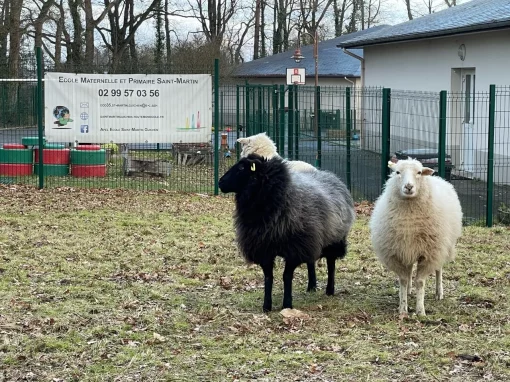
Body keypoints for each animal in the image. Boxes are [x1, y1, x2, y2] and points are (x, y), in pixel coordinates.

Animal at [218, 154, 354, 312]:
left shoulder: (294, 248)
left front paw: (287, 304)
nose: (220, 182)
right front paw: (266, 306)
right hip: (312, 238)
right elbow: (268, 277)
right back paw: (311, 286)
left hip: (333, 239)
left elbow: (287, 276)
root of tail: (329, 175)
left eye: (241, 167)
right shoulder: (264, 248)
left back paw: (329, 290)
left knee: (331, 263)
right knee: (311, 261)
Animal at [368, 158, 464, 316]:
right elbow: (403, 280)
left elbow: (420, 282)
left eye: (419, 172)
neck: (409, 221)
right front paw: (403, 308)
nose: (408, 186)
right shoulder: (398, 253)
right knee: (410, 270)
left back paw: (439, 292)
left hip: (442, 246)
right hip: (410, 248)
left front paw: (420, 310)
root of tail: (439, 178)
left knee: (439, 270)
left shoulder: (429, 254)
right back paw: (408, 291)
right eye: (397, 172)